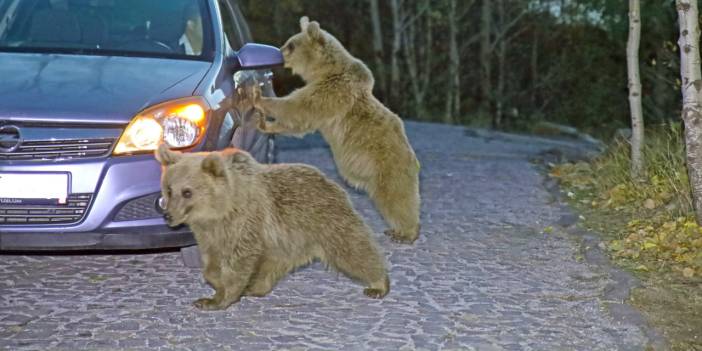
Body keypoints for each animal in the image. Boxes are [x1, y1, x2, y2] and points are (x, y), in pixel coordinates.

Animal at [155, 145, 394, 310]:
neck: (221, 210)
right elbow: (212, 262)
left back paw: (378, 283)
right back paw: (255, 287)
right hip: (284, 240)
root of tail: (331, 181)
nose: (168, 215)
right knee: (272, 264)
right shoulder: (209, 233)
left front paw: (218, 299)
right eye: (169, 189)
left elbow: (238, 262)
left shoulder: (246, 222)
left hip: (325, 220)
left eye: (187, 192)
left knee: (353, 250)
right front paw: (215, 286)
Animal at [253, 17, 420, 245]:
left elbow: (297, 107)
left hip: (389, 167)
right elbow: (298, 121)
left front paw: (258, 97)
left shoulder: (331, 92)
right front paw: (265, 123)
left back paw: (405, 233)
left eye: (291, 45)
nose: (278, 54)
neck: (323, 70)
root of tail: (413, 160)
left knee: (397, 198)